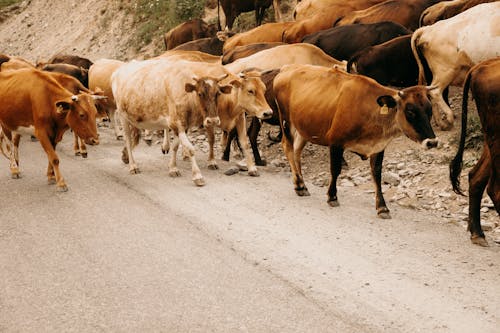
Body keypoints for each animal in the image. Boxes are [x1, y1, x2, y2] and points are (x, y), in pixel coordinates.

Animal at [274, 63, 438, 217]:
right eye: (410, 111)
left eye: (430, 109)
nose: (432, 142)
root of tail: (287, 68)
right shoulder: (335, 142)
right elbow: (335, 170)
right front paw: (332, 197)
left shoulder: (378, 147)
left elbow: (377, 175)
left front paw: (382, 207)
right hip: (286, 121)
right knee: (288, 147)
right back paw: (299, 186)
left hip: (303, 127)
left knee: (296, 151)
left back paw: (302, 184)